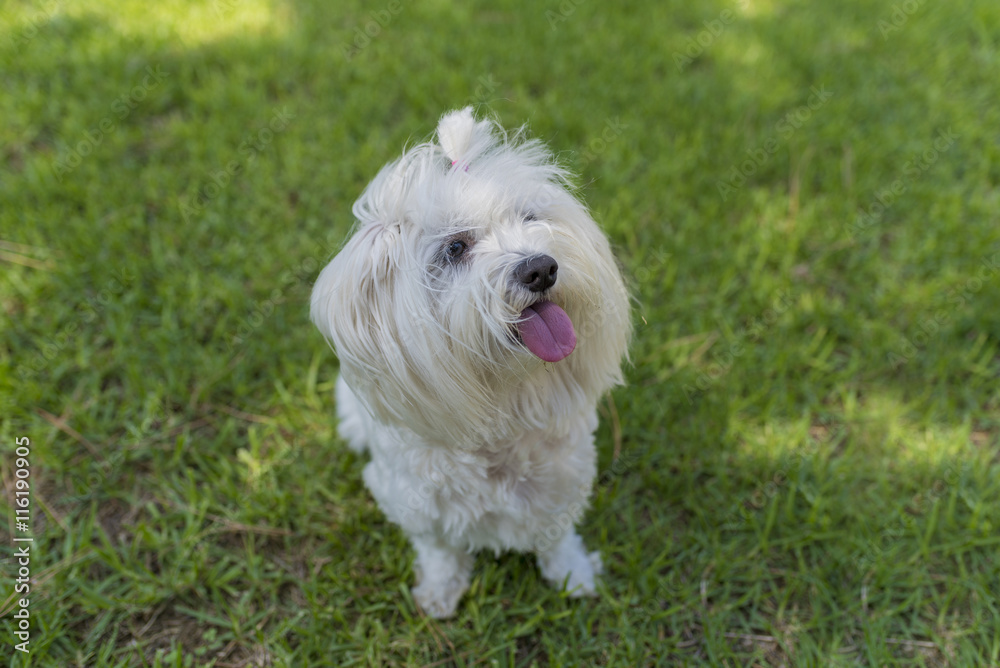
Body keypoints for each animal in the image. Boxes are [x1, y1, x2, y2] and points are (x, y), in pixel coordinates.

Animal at [308, 107, 628, 620]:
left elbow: (556, 537)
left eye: (530, 217)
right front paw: (440, 593)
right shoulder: (412, 500)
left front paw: (574, 576)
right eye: (455, 248)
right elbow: (439, 549)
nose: (541, 268)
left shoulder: (564, 479)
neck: (504, 400)